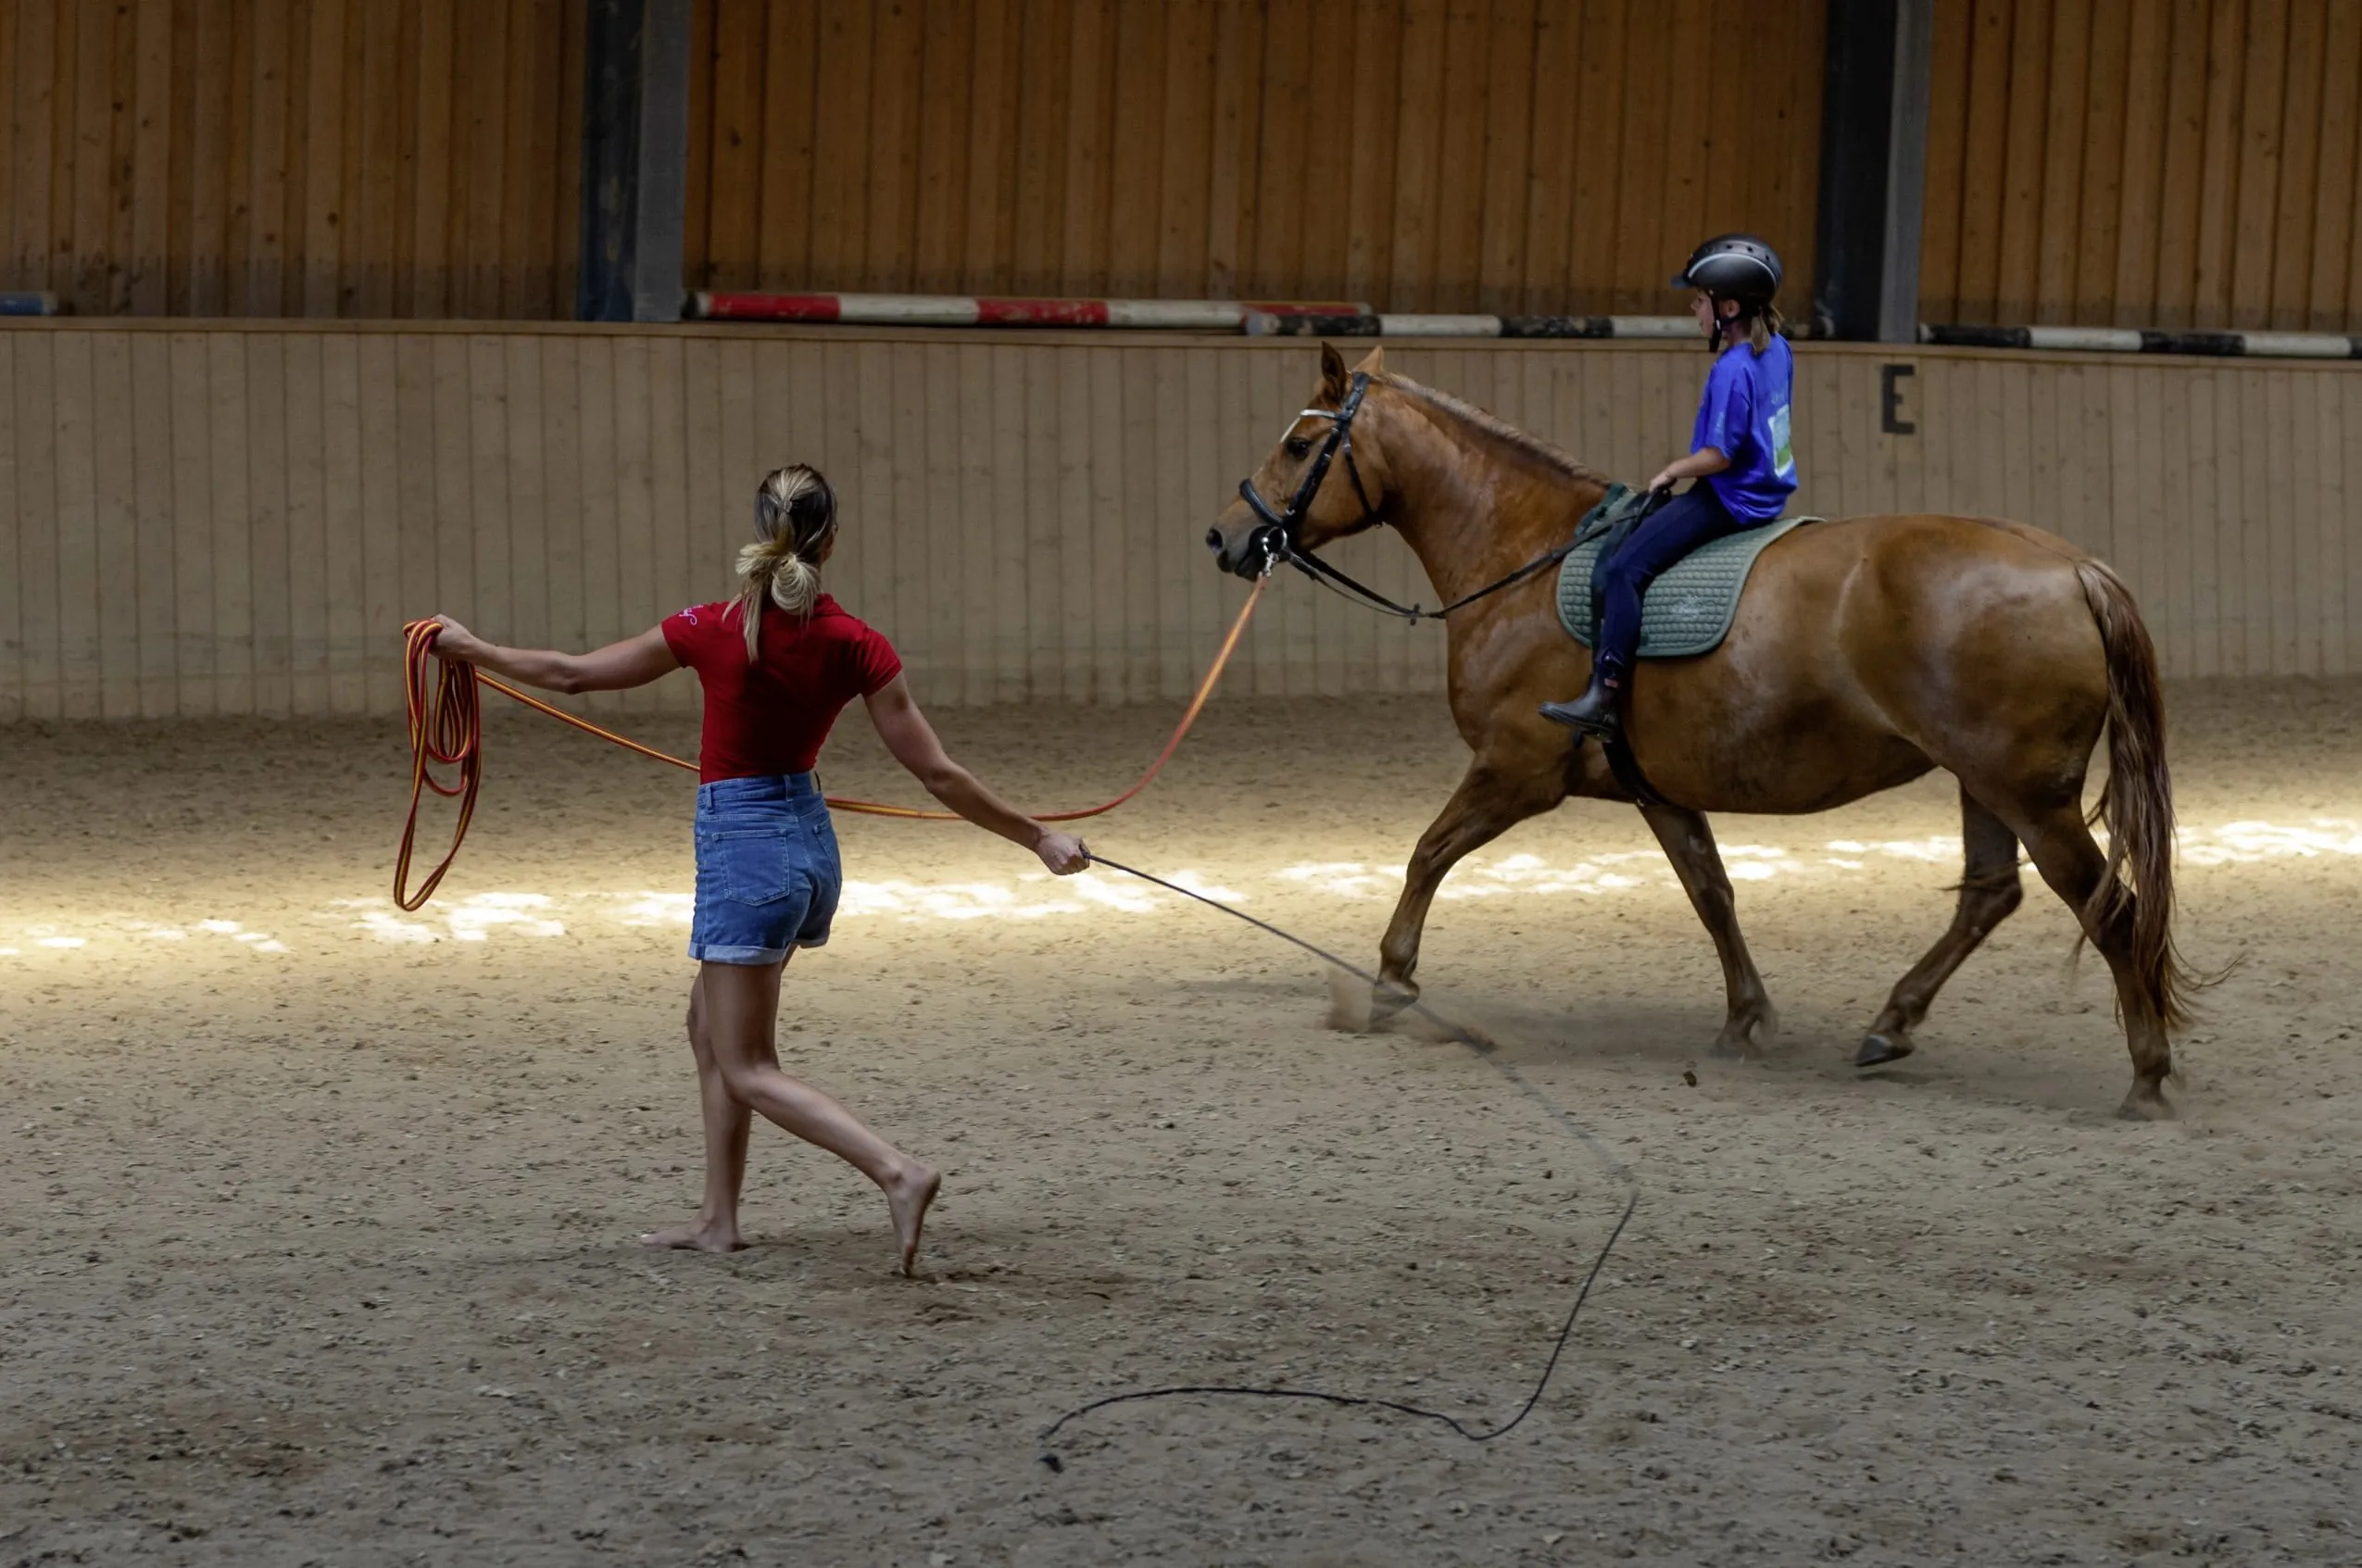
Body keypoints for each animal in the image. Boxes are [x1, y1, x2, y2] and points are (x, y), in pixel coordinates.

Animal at [1206, 343, 2193, 1119]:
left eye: (1300, 444)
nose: (1226, 537)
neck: (1527, 557)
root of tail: (2075, 567)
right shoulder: (1658, 790)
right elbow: (1710, 892)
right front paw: (1744, 1019)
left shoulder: (1515, 771)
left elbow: (1425, 855)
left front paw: (1389, 985)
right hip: (1983, 781)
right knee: (1991, 894)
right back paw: (1890, 1025)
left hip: (2029, 794)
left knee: (2108, 908)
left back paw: (2146, 1077)